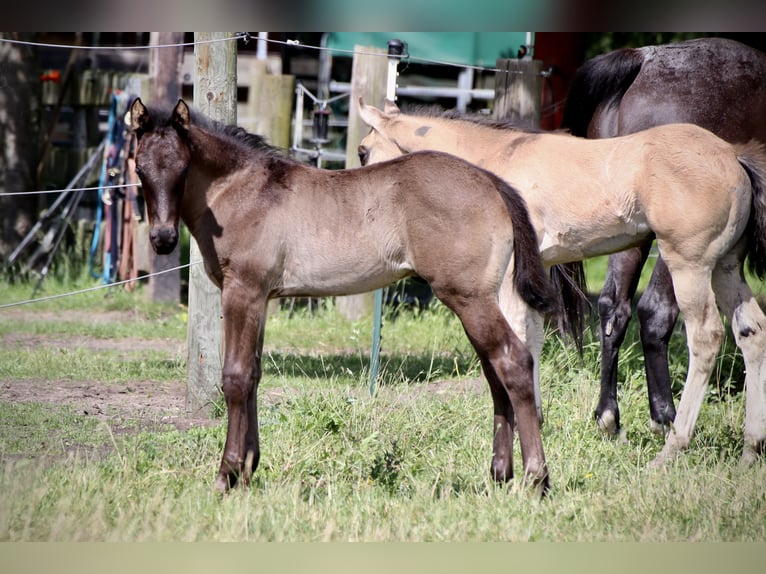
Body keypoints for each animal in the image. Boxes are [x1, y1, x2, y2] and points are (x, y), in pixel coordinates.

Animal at [130, 98, 564, 496]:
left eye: (184, 168)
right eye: (140, 169)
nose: (163, 239)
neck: (246, 192)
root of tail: (492, 182)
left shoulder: (243, 291)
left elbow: (235, 377)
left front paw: (227, 475)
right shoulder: (262, 299)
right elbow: (253, 373)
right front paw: (249, 470)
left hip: (469, 297)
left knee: (513, 362)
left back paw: (536, 479)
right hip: (476, 300)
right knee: (495, 373)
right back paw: (499, 475)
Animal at [362, 98, 766, 468]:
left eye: (364, 150)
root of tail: (734, 158)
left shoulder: (509, 276)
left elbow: (516, 336)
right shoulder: (534, 272)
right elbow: (533, 338)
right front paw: (535, 419)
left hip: (689, 265)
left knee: (707, 337)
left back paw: (671, 449)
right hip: (726, 266)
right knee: (752, 331)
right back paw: (751, 450)